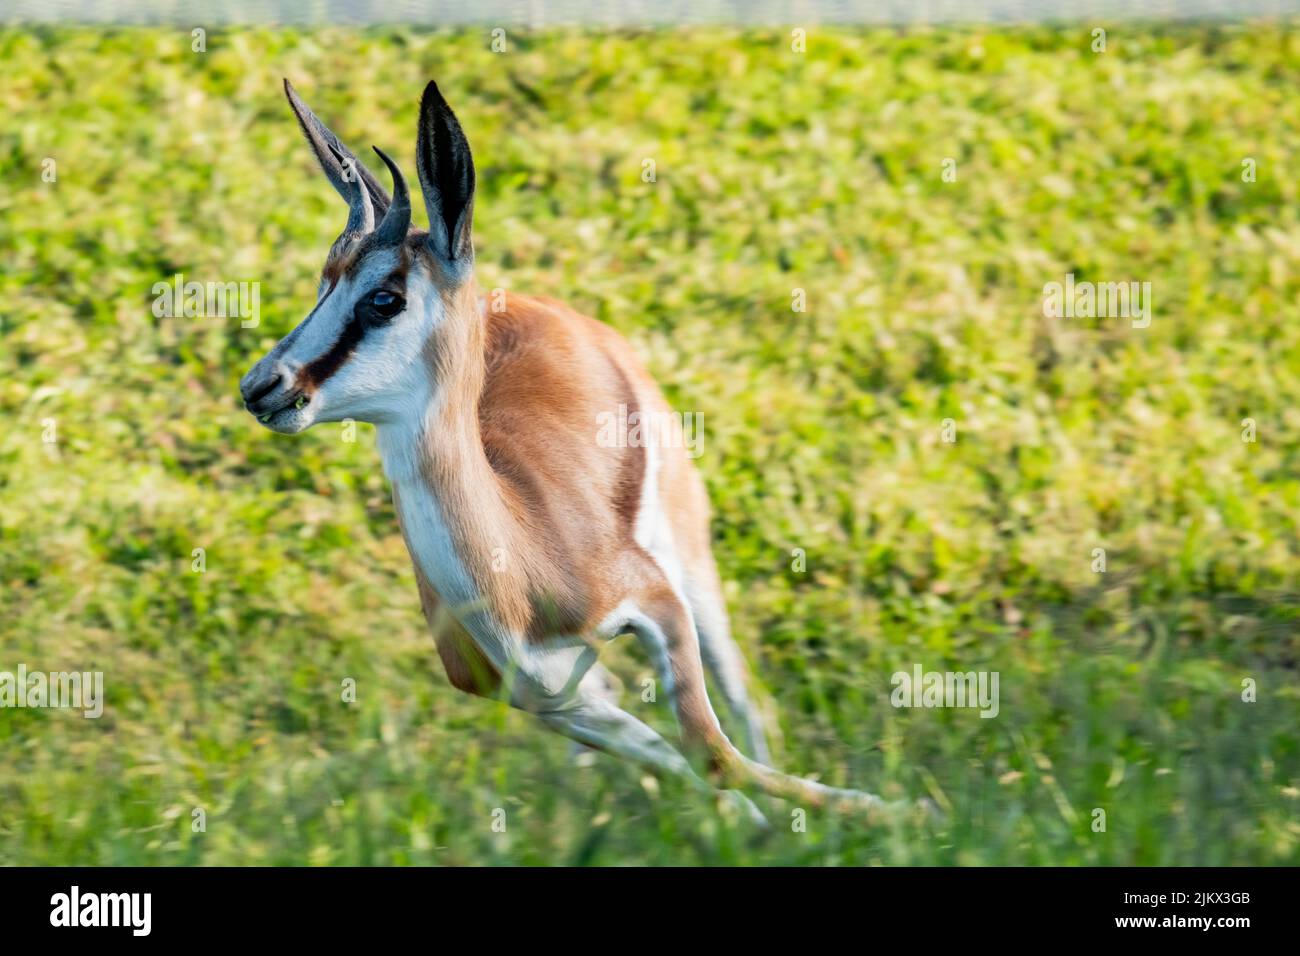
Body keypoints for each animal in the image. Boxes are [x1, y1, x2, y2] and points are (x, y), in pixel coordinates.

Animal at [241, 78, 894, 822]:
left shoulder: (657, 602)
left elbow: (714, 756)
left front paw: (895, 810)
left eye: (385, 297)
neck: (516, 576)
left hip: (692, 565)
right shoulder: (553, 703)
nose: (262, 386)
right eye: (324, 281)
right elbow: (690, 766)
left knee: (743, 695)